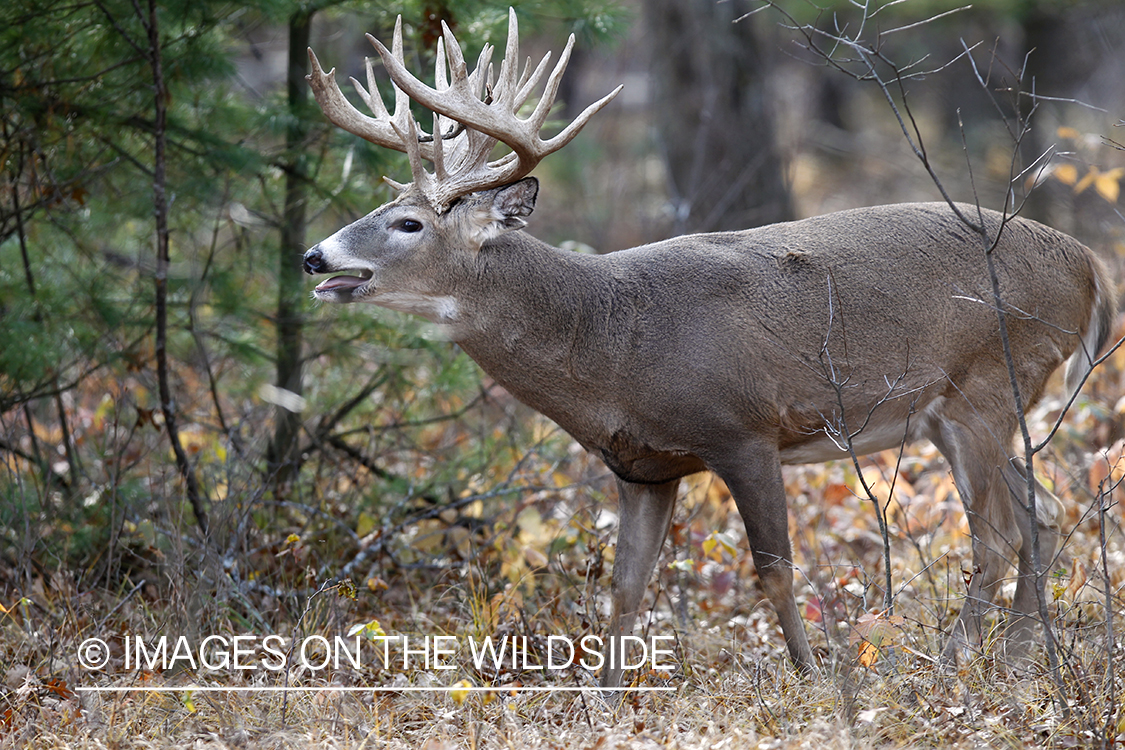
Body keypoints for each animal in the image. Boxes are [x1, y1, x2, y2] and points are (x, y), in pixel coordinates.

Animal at [301, 8, 1116, 688]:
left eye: (408, 223)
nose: (314, 256)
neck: (610, 341)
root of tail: (1089, 266)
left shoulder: (743, 429)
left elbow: (775, 570)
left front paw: (811, 682)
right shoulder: (643, 467)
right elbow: (627, 585)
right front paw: (605, 698)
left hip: (985, 386)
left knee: (996, 535)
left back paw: (952, 670)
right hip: (968, 410)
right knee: (1042, 511)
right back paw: (1018, 665)